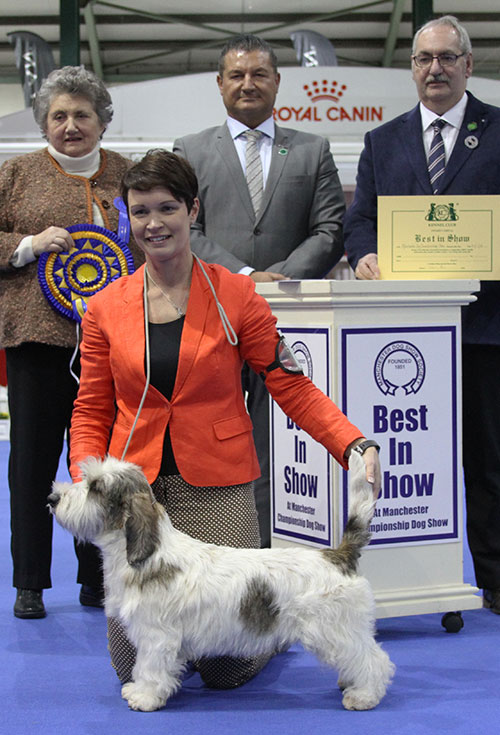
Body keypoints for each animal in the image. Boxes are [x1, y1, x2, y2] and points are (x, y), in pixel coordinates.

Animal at [49, 454, 394, 712]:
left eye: (96, 488)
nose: (53, 497)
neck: (150, 553)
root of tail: (338, 555)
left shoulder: (156, 637)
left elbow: (148, 667)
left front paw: (144, 697)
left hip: (335, 630)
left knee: (373, 659)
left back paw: (364, 695)